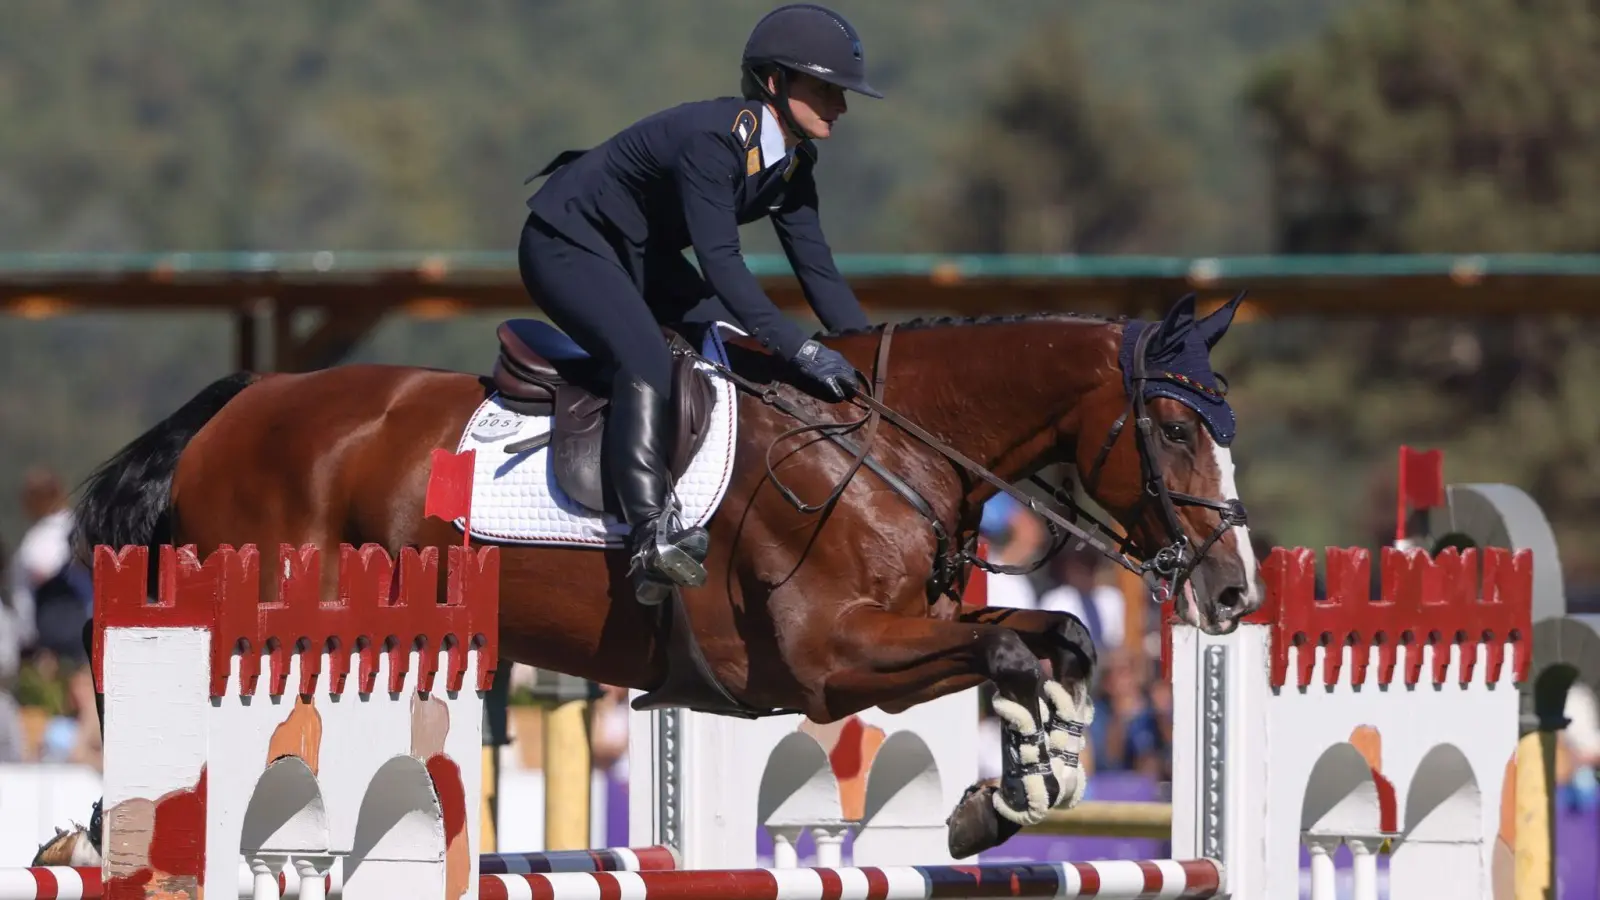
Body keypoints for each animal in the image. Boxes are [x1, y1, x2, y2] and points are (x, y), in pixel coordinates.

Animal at [65, 291, 1260, 858]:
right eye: (1171, 429)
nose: (1234, 593)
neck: (892, 445)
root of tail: (240, 403)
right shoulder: (829, 662)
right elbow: (1019, 645)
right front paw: (998, 799)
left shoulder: (899, 637)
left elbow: (1059, 639)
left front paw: (1015, 795)